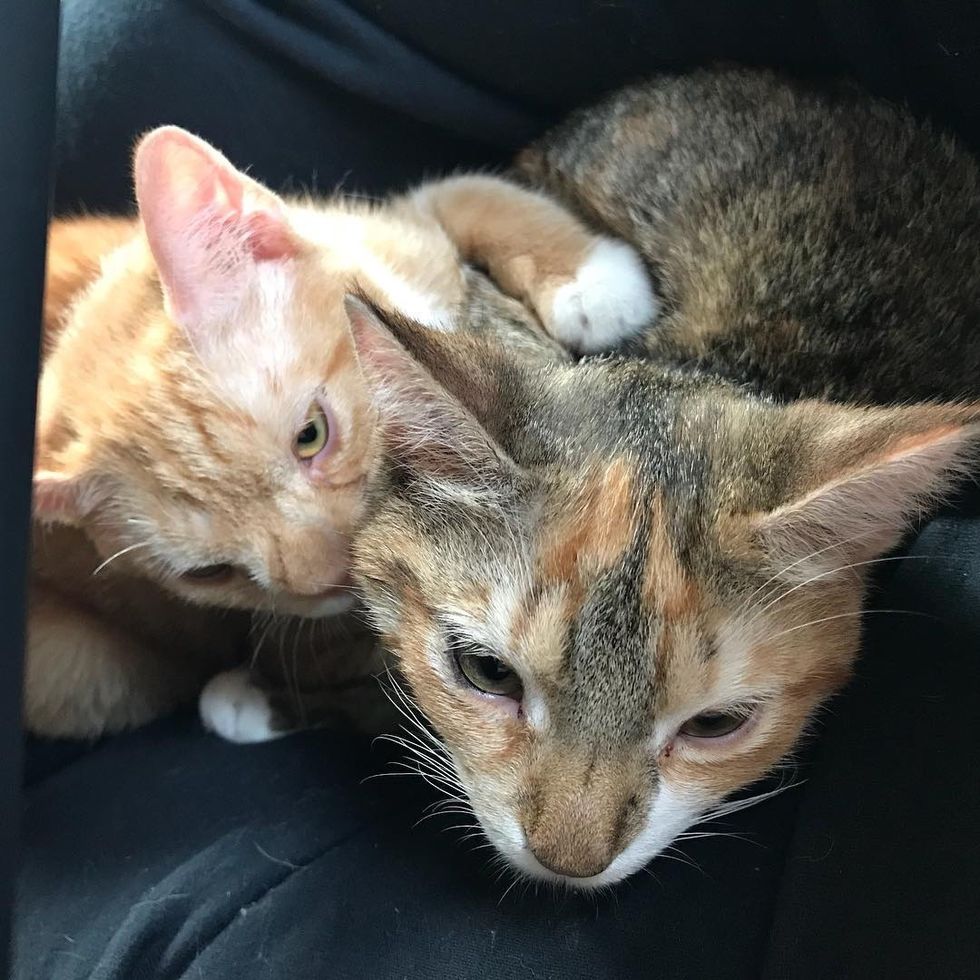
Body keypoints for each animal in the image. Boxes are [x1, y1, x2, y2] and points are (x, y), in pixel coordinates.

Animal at [30, 132, 660, 744]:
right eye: (209, 573)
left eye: (311, 434)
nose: (331, 574)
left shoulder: (390, 227)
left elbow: (471, 194)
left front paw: (594, 282)